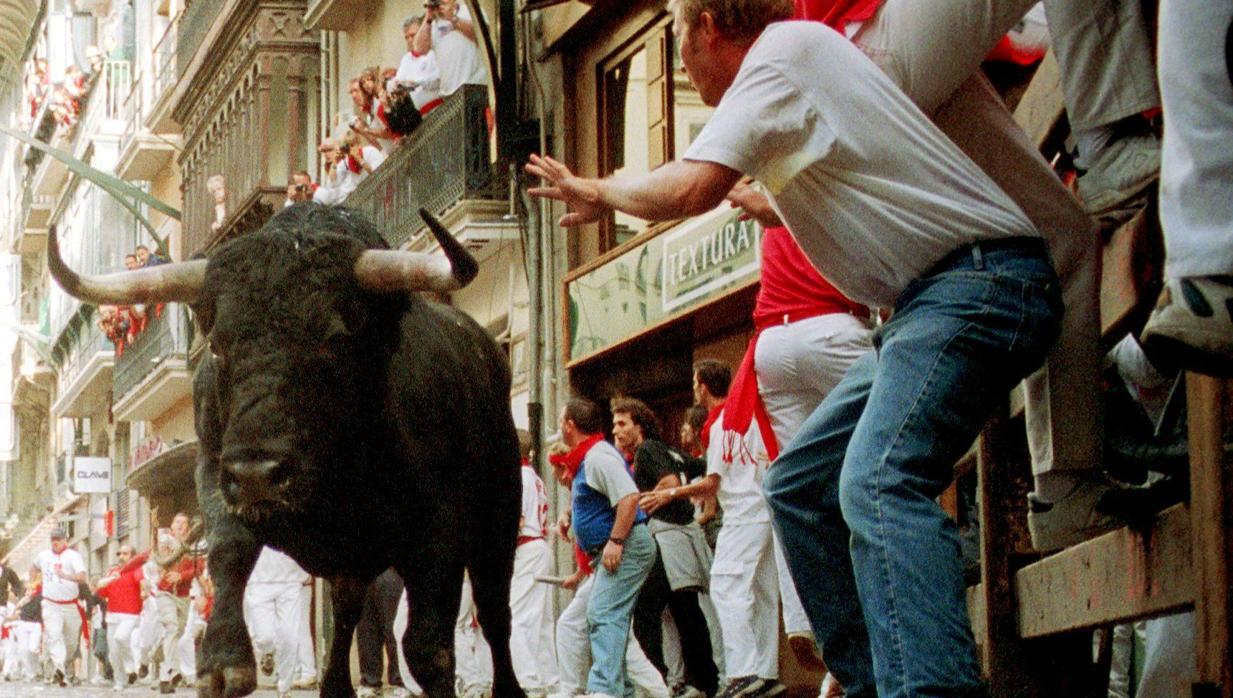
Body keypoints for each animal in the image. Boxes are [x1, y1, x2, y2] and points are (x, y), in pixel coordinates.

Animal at [48, 207, 527, 698]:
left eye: (335, 339)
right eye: (217, 344)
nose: (258, 474)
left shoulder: (440, 528)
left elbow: (430, 648)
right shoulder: (216, 470)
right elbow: (229, 551)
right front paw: (223, 662)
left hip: (501, 511)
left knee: (494, 610)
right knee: (347, 609)